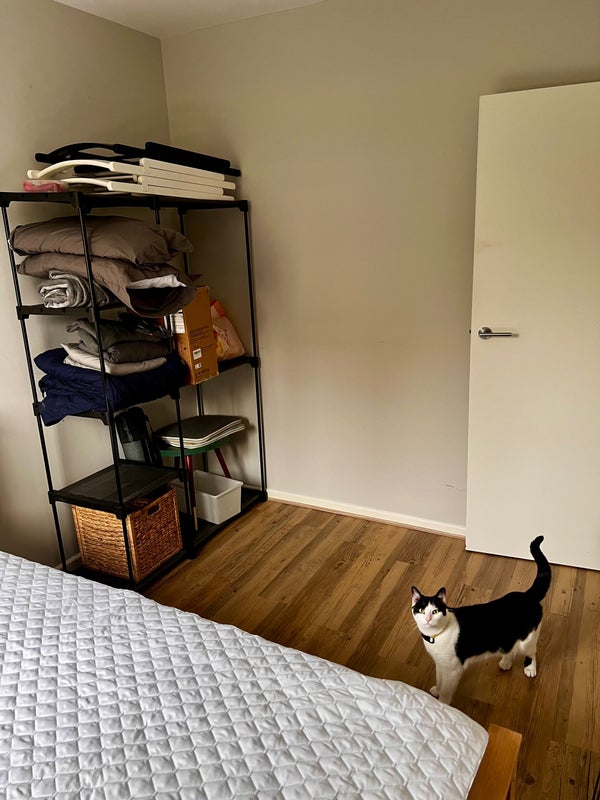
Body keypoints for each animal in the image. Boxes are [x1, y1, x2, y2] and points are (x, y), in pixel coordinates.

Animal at [410, 535, 551, 705]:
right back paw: (506, 662)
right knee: (511, 648)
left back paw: (530, 669)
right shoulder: (440, 664)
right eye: (421, 610)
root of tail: (526, 595)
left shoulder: (453, 670)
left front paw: (441, 704)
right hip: (508, 638)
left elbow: (446, 690)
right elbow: (439, 680)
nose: (428, 618)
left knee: (532, 652)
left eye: (435, 611)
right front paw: (436, 691)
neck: (436, 637)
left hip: (528, 639)